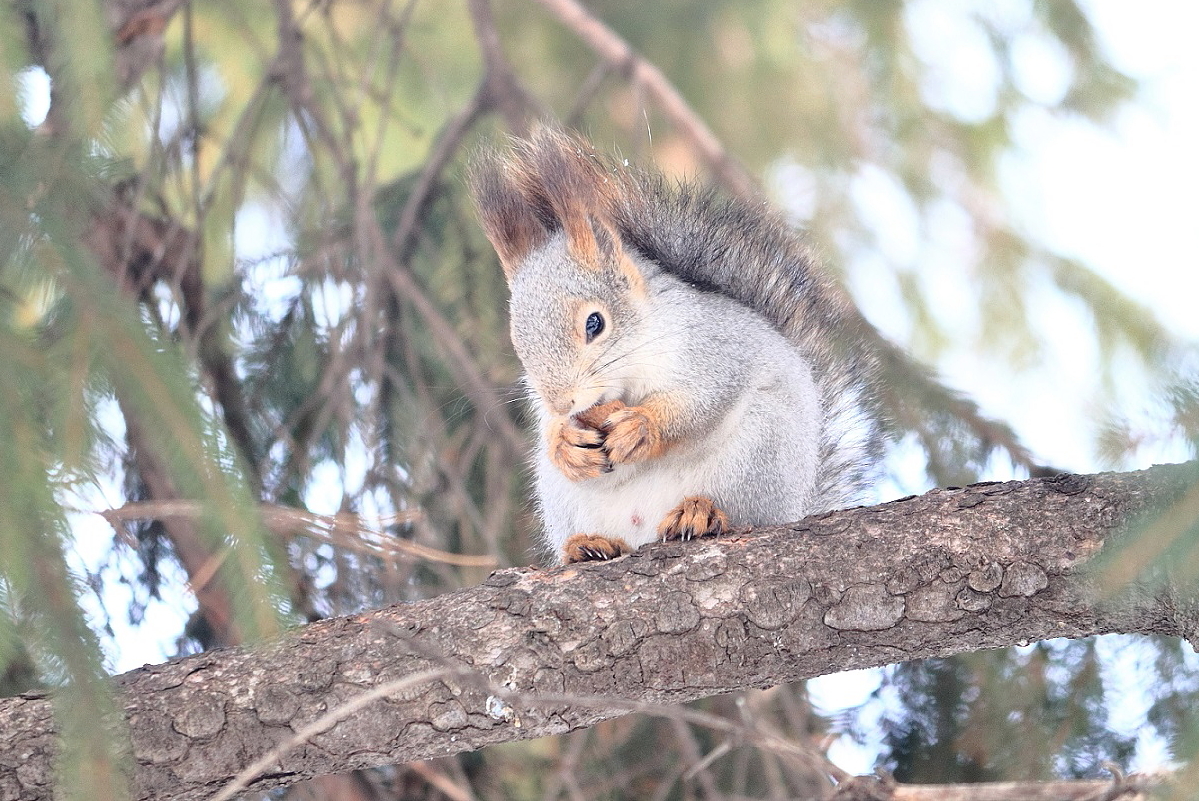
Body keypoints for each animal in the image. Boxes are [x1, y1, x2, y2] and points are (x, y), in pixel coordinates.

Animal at [467, 126, 882, 563]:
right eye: (519, 343)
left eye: (595, 323)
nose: (564, 403)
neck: (628, 372)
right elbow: (547, 427)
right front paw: (563, 440)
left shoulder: (714, 347)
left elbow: (700, 400)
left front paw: (640, 427)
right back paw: (588, 544)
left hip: (758, 454)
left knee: (739, 511)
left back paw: (700, 513)